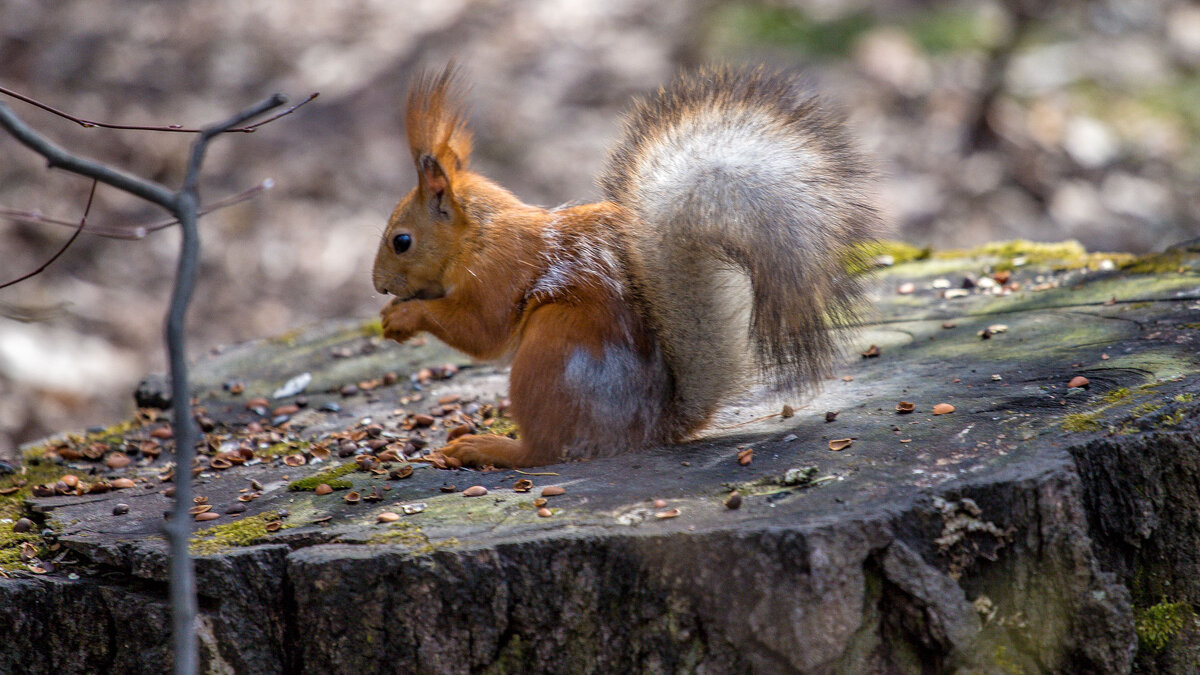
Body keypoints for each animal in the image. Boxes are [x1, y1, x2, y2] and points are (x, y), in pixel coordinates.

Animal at [372, 66, 883, 468]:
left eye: (402, 241)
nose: (377, 285)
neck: (477, 236)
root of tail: (647, 428)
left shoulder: (497, 273)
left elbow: (481, 332)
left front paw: (403, 315)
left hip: (551, 351)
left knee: (545, 451)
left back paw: (487, 447)